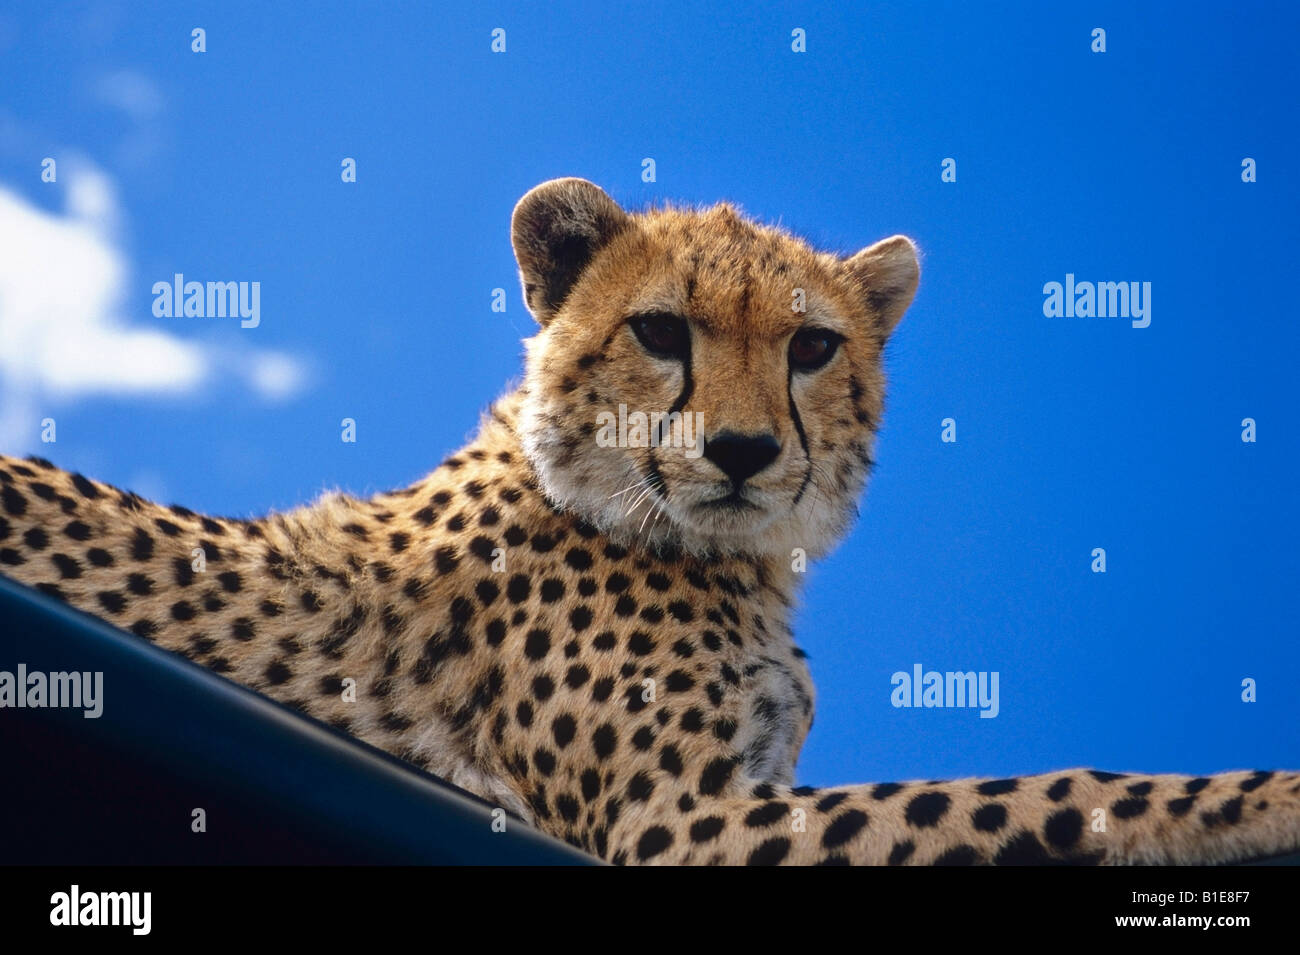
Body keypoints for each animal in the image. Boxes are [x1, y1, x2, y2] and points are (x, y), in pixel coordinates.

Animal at [2, 178, 1300, 867]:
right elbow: (1024, 793)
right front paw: (1259, 798)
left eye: (811, 346)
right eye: (662, 331)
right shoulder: (673, 825)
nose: (742, 450)